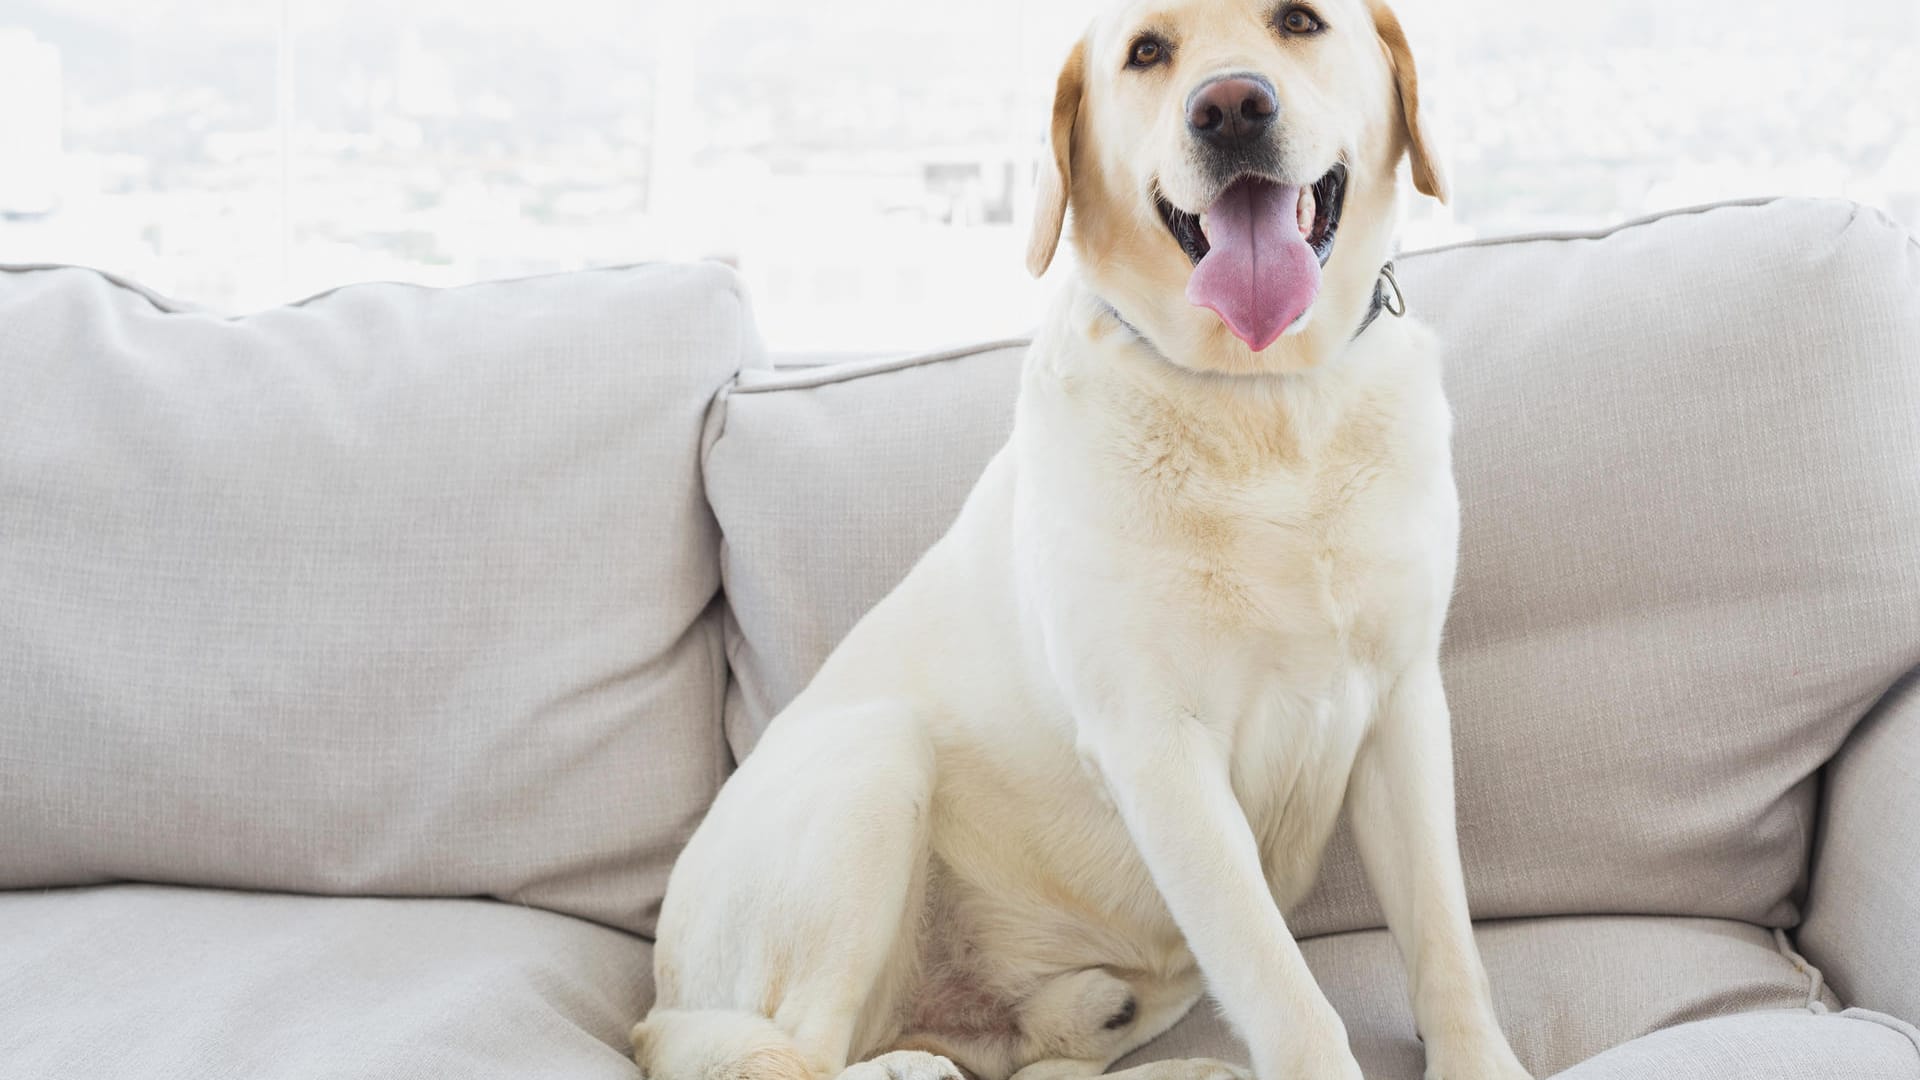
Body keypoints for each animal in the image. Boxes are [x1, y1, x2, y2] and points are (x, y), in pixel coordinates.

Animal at [633, 2, 1528, 1076]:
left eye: (1298, 21)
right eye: (1147, 52)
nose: (1231, 107)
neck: (1264, 400)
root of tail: (655, 1000)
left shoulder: (1401, 709)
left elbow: (1446, 944)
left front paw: (1480, 1060)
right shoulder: (1156, 749)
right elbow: (1284, 990)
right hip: (872, 761)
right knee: (802, 1047)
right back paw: (908, 1064)